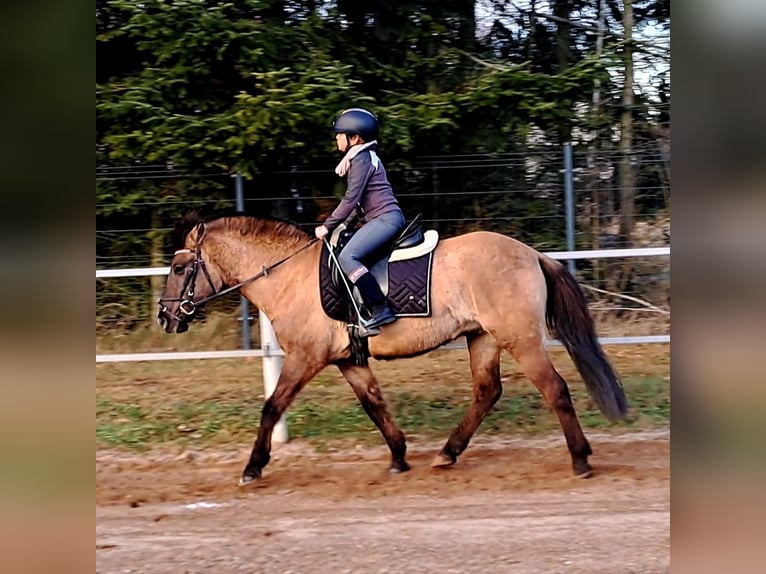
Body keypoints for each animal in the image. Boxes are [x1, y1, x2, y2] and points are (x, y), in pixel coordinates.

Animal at [157, 211, 628, 484]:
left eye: (180, 268)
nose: (166, 317)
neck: (289, 275)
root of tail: (532, 254)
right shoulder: (347, 360)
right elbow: (374, 404)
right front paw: (399, 456)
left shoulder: (305, 358)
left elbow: (272, 406)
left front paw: (253, 467)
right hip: (483, 338)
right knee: (487, 392)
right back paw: (447, 453)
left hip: (520, 338)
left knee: (555, 389)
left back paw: (581, 460)